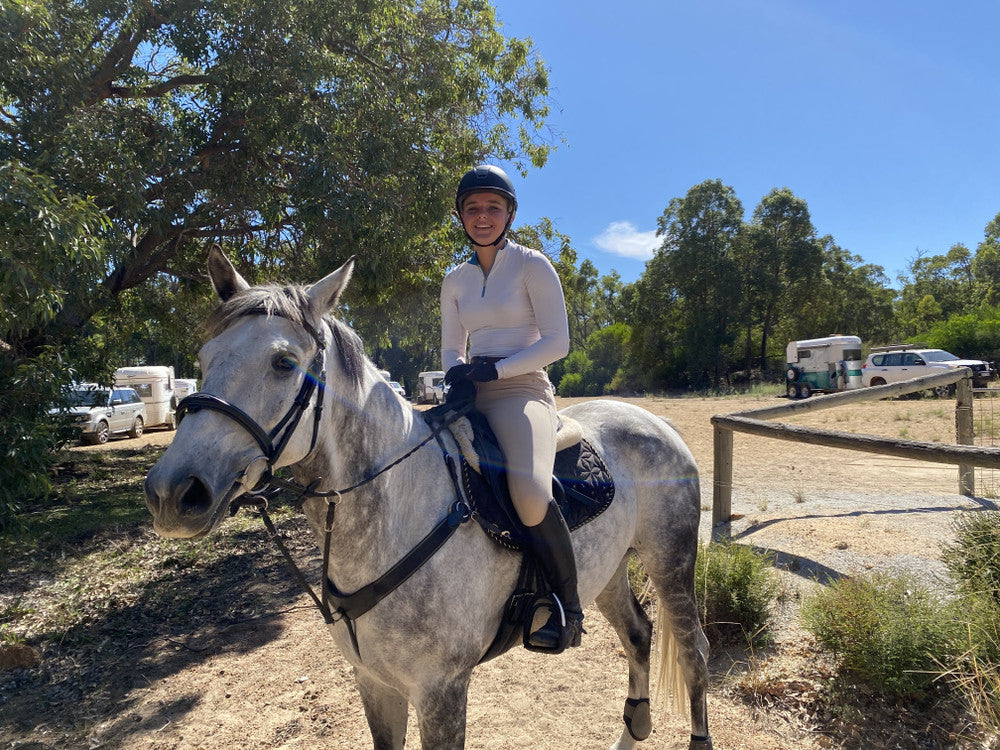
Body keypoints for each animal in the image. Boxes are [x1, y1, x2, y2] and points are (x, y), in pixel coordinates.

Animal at [144, 246, 712, 750]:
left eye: (284, 363)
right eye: (204, 359)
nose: (172, 493)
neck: (395, 512)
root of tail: (654, 420)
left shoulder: (440, 690)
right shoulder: (375, 683)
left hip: (671, 564)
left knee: (694, 654)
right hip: (608, 570)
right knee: (638, 634)